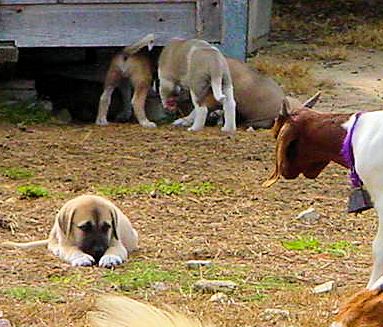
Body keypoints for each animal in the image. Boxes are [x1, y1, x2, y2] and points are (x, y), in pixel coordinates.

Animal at [1, 195, 140, 270]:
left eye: (107, 227)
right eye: (84, 227)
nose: (99, 250)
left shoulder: (116, 243)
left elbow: (113, 250)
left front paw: (109, 258)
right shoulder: (67, 244)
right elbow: (73, 251)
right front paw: (81, 257)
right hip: (56, 230)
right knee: (52, 244)